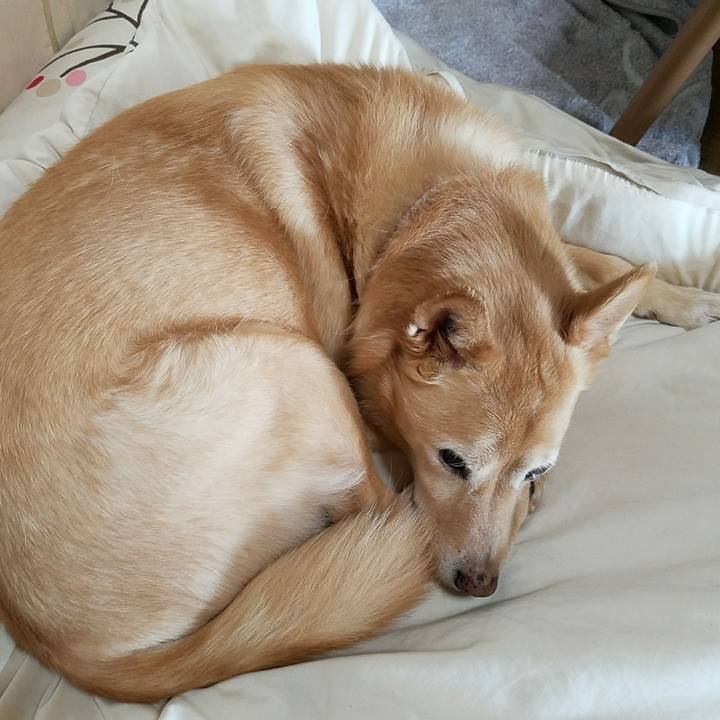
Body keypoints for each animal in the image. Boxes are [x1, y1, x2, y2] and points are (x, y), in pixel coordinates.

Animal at [1, 65, 718, 702]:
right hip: (297, 367)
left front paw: (682, 297)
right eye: (452, 461)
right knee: (382, 507)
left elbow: (591, 255)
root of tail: (67, 649)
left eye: (535, 469)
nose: (479, 583)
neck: (432, 201)